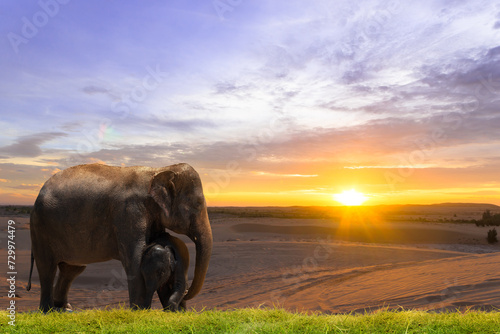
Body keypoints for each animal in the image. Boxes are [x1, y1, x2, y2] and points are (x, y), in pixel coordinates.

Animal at [27, 163, 211, 312]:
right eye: (197, 204)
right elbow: (134, 259)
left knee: (71, 268)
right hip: (40, 227)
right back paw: (47, 311)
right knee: (47, 267)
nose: (186, 295)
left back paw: (64, 308)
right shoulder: (128, 212)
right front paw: (139, 311)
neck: (158, 170)